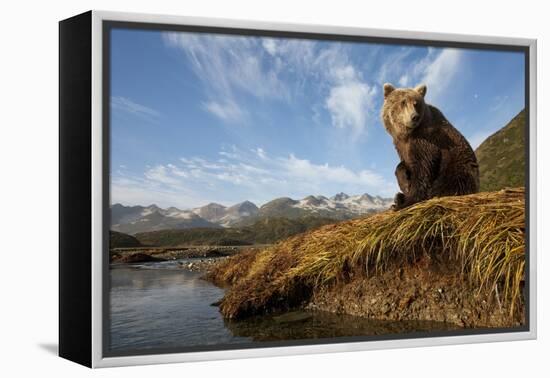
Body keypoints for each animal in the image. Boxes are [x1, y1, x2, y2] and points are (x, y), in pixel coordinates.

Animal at [384, 82, 478, 210]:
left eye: (416, 103)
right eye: (403, 102)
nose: (414, 117)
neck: (407, 134)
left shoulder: (426, 139)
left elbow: (423, 166)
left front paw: (407, 201)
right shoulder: (400, 145)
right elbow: (404, 163)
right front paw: (404, 183)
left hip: (457, 168)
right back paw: (398, 197)